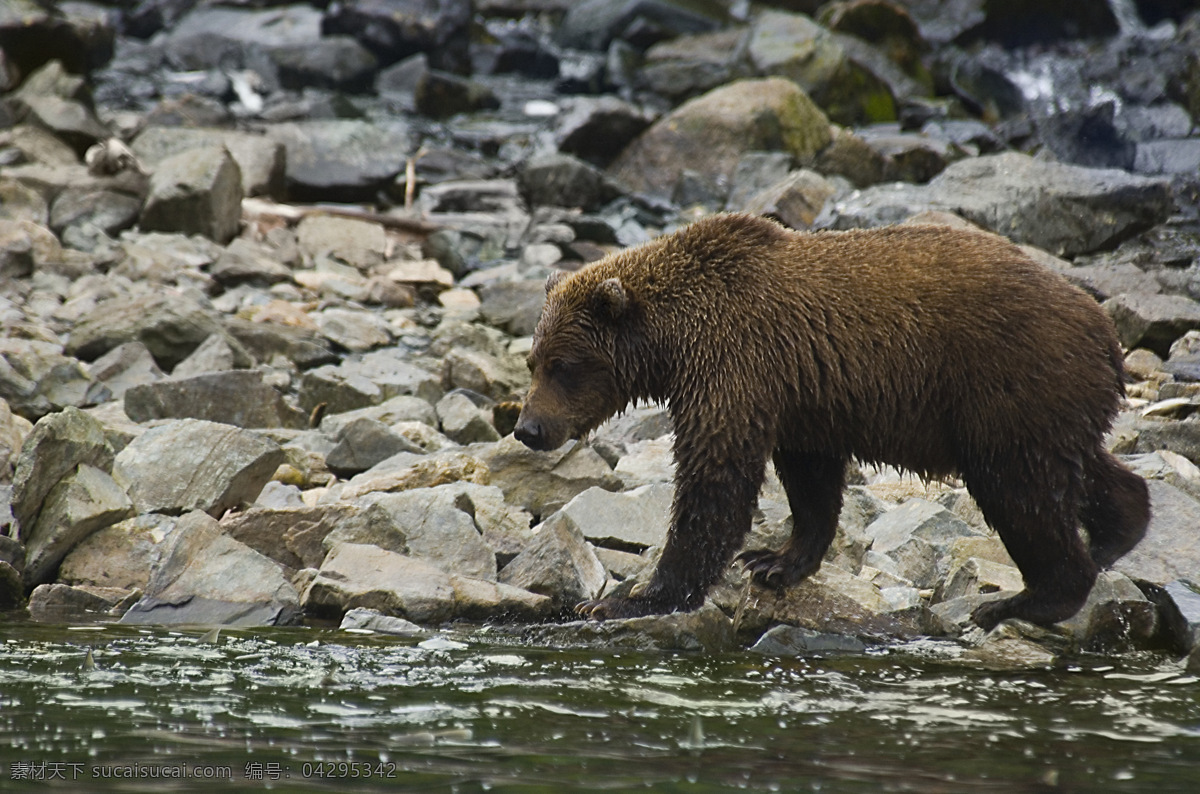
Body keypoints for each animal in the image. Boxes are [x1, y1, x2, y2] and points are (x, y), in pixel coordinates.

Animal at [511, 213, 1147, 633]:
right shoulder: (802, 392)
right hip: (1047, 402)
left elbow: (715, 482)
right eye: (533, 361)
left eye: (565, 366)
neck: (674, 342)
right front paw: (775, 561)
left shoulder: (736, 365)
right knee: (1077, 469)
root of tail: (1105, 331)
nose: (528, 429)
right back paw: (1119, 530)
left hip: (1007, 384)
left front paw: (629, 598)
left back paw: (1024, 600)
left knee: (1019, 489)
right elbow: (810, 479)